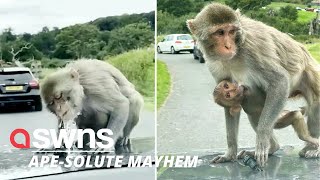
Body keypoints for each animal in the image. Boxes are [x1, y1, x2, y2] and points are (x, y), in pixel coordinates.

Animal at [188, 2, 320, 167]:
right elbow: (231, 108)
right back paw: (274, 148)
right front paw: (230, 152)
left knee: (315, 105)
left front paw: (262, 140)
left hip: (312, 74)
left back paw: (313, 148)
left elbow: (279, 81)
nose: (228, 46)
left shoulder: (253, 48)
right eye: (220, 32)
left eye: (231, 31)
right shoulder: (213, 64)